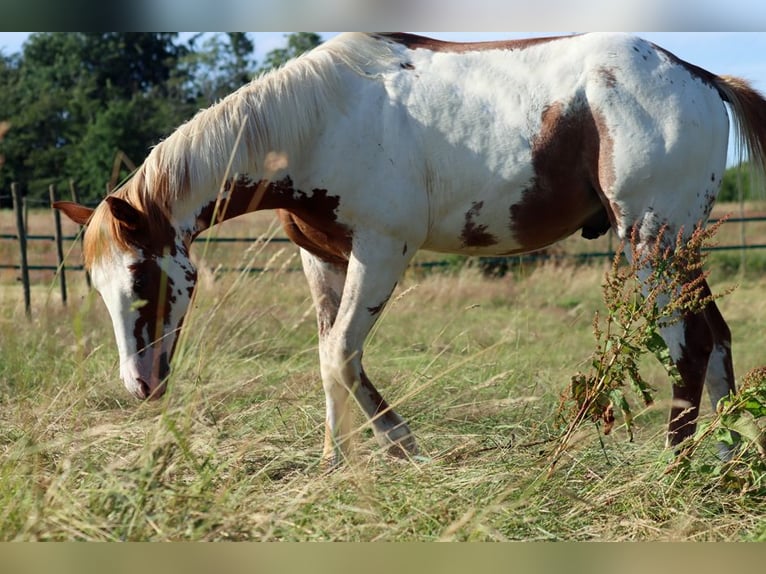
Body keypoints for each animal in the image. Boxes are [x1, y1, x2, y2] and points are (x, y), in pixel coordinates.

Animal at [55, 32, 766, 467]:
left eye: (142, 278)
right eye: (98, 286)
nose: (139, 385)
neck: (320, 122)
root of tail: (703, 77)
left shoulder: (381, 252)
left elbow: (343, 355)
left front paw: (407, 452)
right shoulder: (324, 258)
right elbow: (327, 356)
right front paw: (334, 463)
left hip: (651, 244)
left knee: (689, 346)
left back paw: (673, 469)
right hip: (679, 251)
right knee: (718, 337)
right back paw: (727, 459)